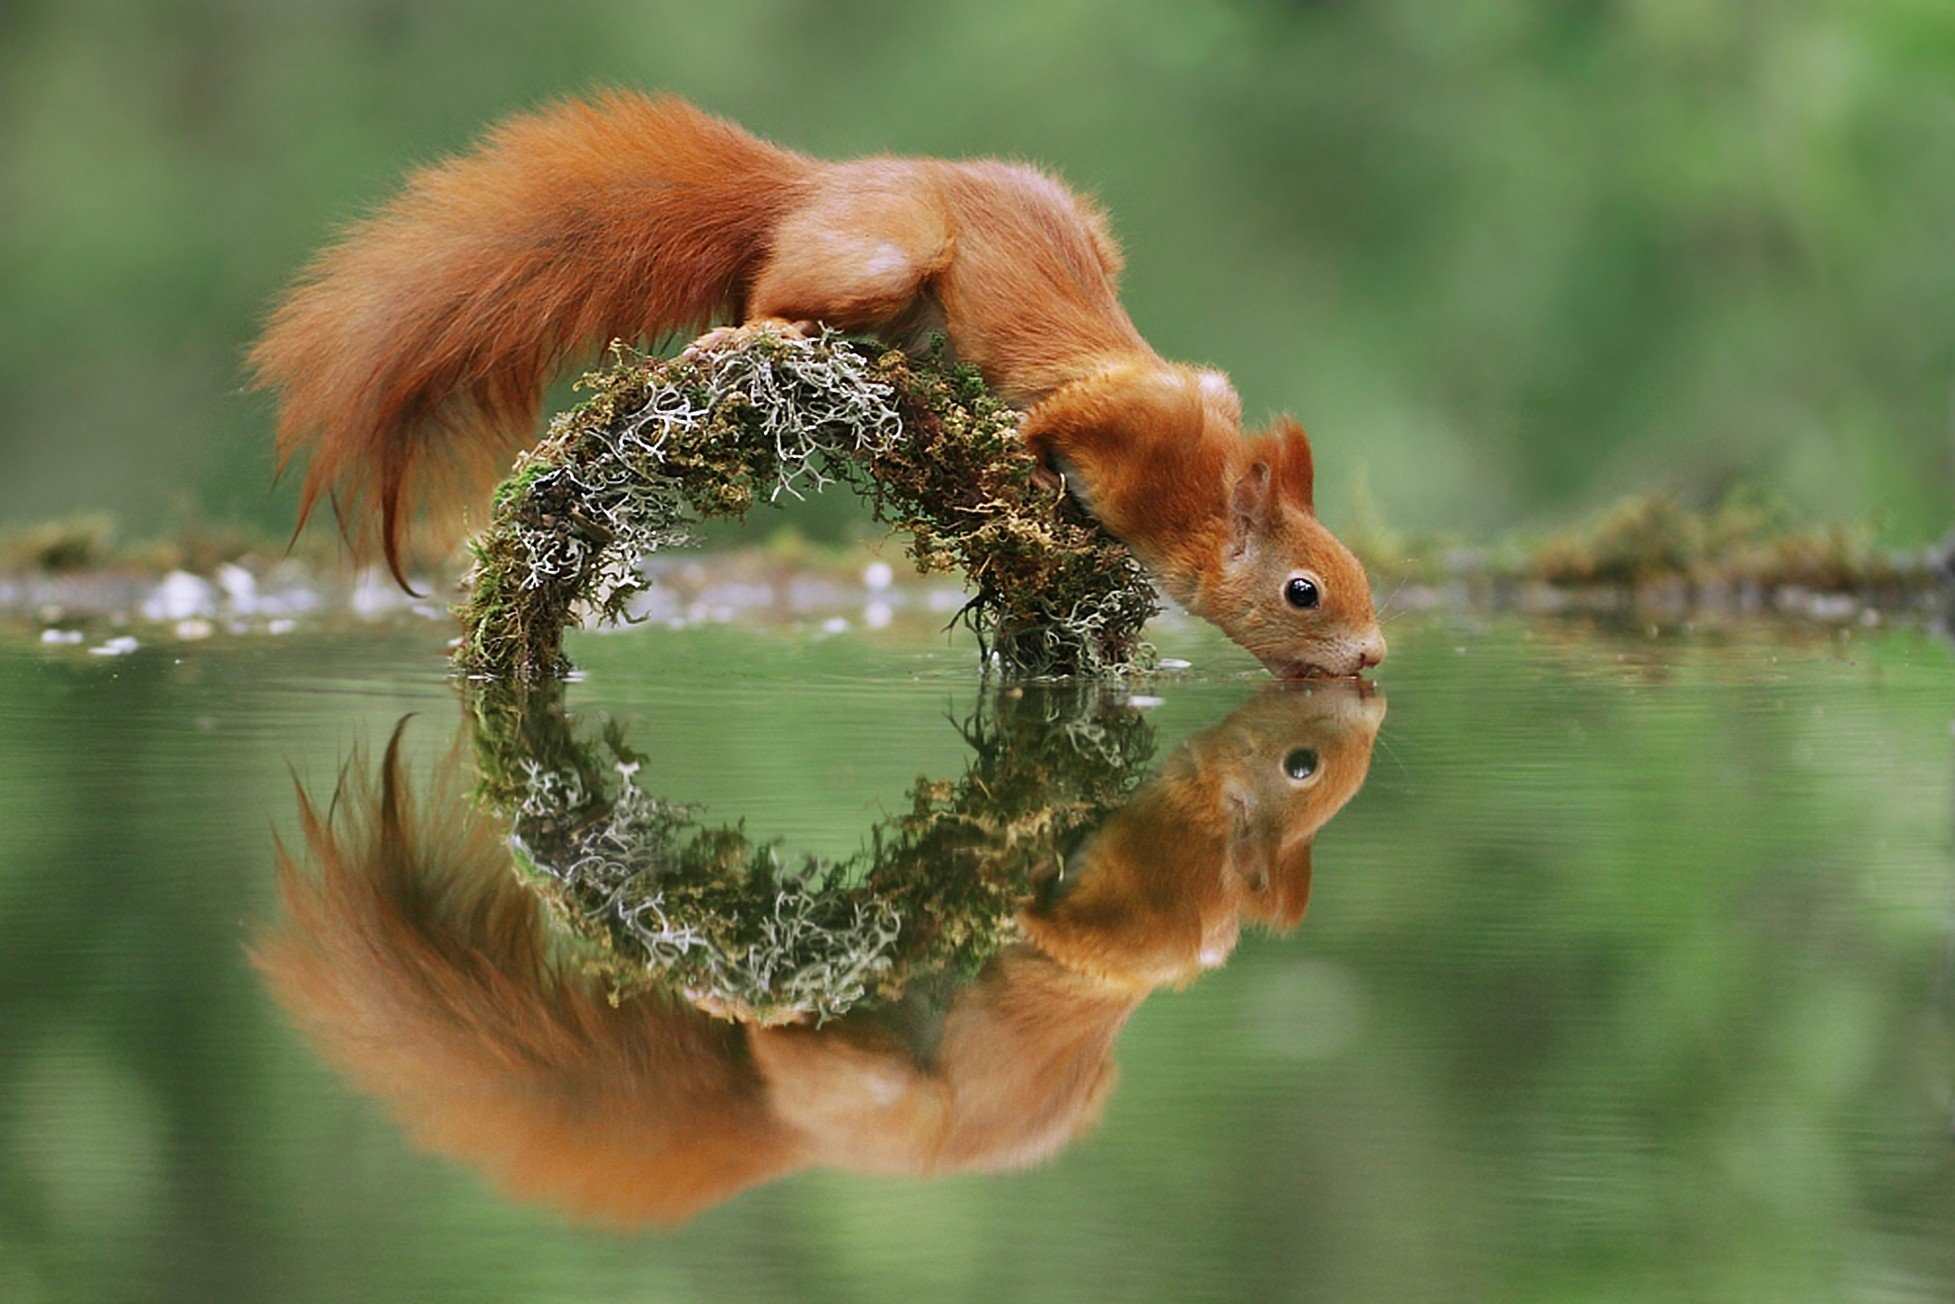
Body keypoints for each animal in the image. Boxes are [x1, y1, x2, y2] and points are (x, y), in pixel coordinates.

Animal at [256, 91, 1391, 680]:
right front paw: (1032, 473)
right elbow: (1049, 423)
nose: (1374, 657)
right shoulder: (1125, 411)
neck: (1197, 482)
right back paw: (752, 329)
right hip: (883, 258)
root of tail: (821, 187)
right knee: (771, 291)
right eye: (1303, 589)